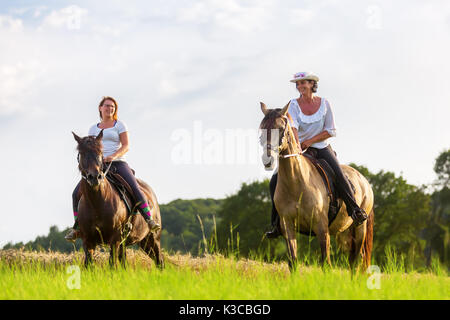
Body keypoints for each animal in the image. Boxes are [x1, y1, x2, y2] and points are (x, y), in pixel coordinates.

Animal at [69, 130, 163, 268]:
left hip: (152, 239)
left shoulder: (115, 239)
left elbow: (112, 265)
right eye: (82, 153)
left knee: (160, 261)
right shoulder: (88, 241)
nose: (95, 177)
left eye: (100, 152)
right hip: (137, 242)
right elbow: (88, 265)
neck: (96, 203)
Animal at [258, 101, 374, 272]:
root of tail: (365, 181)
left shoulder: (321, 228)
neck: (297, 183)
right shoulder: (288, 227)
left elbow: (326, 263)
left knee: (356, 262)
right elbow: (293, 262)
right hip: (346, 233)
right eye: (262, 128)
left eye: (279, 128)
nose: (268, 160)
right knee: (352, 260)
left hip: (360, 228)